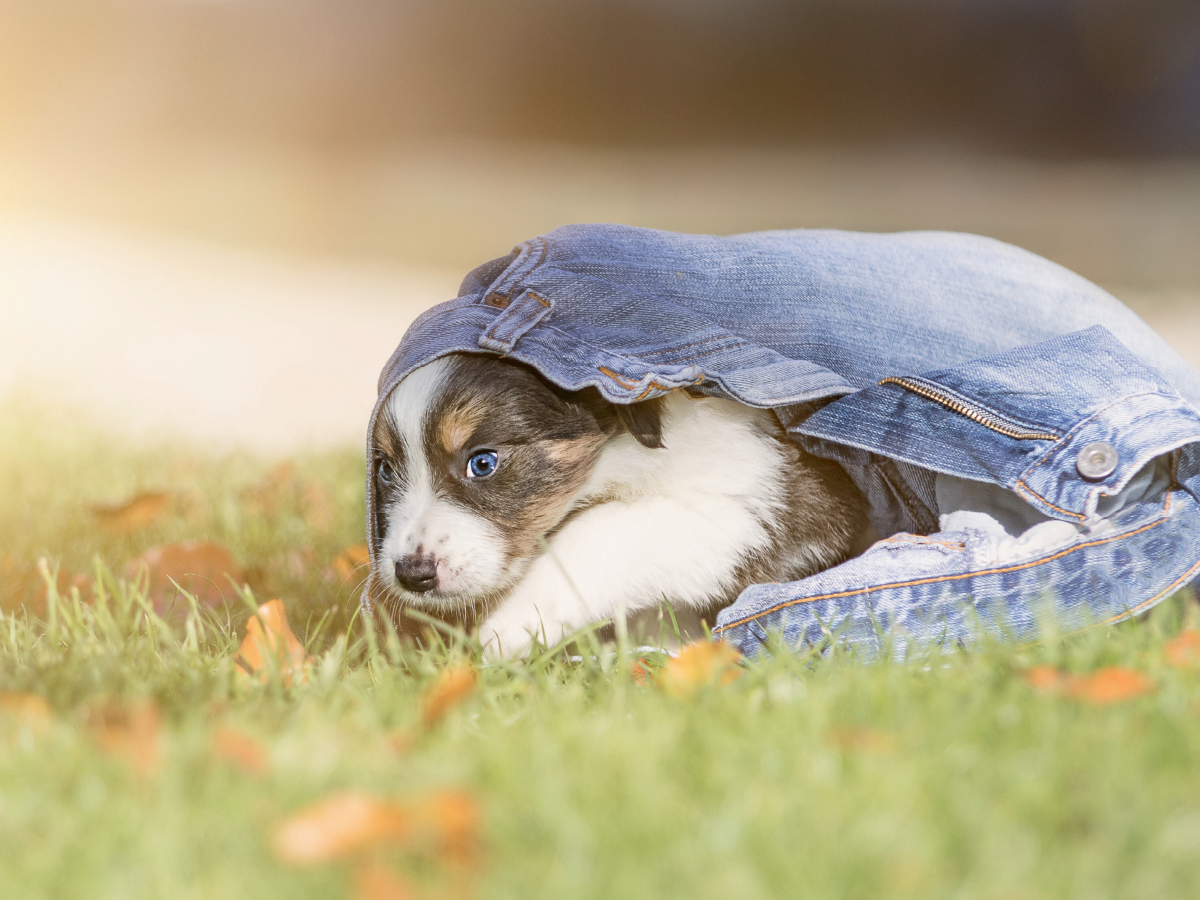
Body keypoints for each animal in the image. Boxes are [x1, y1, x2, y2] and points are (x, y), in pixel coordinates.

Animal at [369, 352, 868, 657]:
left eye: (483, 463)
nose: (412, 575)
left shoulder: (752, 502)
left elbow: (600, 529)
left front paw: (510, 627)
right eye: (386, 470)